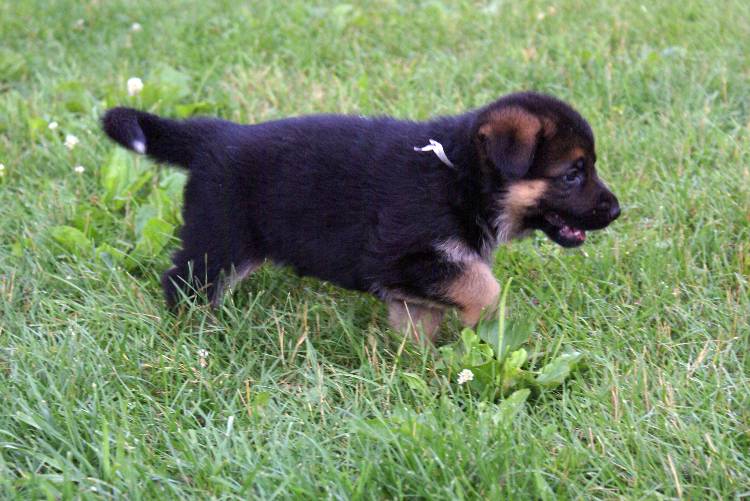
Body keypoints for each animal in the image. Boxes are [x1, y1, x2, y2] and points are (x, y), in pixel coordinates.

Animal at [106, 92, 624, 342]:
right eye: (574, 173)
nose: (617, 210)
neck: (458, 176)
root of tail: (213, 137)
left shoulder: (415, 278)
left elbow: (420, 318)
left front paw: (419, 361)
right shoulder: (403, 255)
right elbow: (483, 284)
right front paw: (487, 325)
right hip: (220, 238)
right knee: (182, 283)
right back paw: (195, 335)